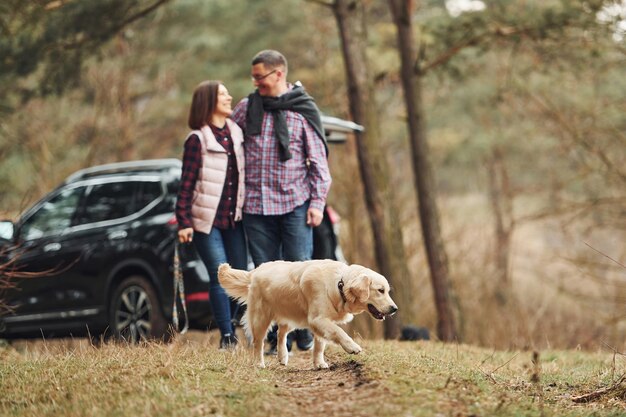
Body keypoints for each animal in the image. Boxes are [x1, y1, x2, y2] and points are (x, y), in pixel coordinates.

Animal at [217, 260, 398, 368]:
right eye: (380, 290)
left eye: (387, 290)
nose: (394, 308)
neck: (339, 284)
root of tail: (254, 271)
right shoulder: (317, 319)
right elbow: (339, 332)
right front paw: (352, 347)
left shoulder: (322, 321)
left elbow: (320, 345)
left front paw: (319, 363)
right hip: (260, 317)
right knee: (258, 342)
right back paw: (259, 363)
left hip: (291, 315)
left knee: (281, 333)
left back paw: (282, 356)